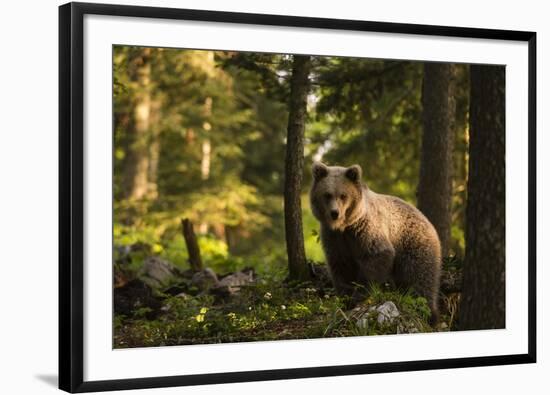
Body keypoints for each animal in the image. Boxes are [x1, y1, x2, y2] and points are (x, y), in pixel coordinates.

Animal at [310, 162, 444, 324]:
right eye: (327, 194)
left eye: (343, 195)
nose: (335, 213)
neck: (345, 226)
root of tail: (428, 222)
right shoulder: (335, 238)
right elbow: (341, 265)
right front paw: (345, 299)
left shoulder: (365, 230)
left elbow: (376, 256)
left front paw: (359, 295)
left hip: (413, 243)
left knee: (419, 277)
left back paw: (428, 313)